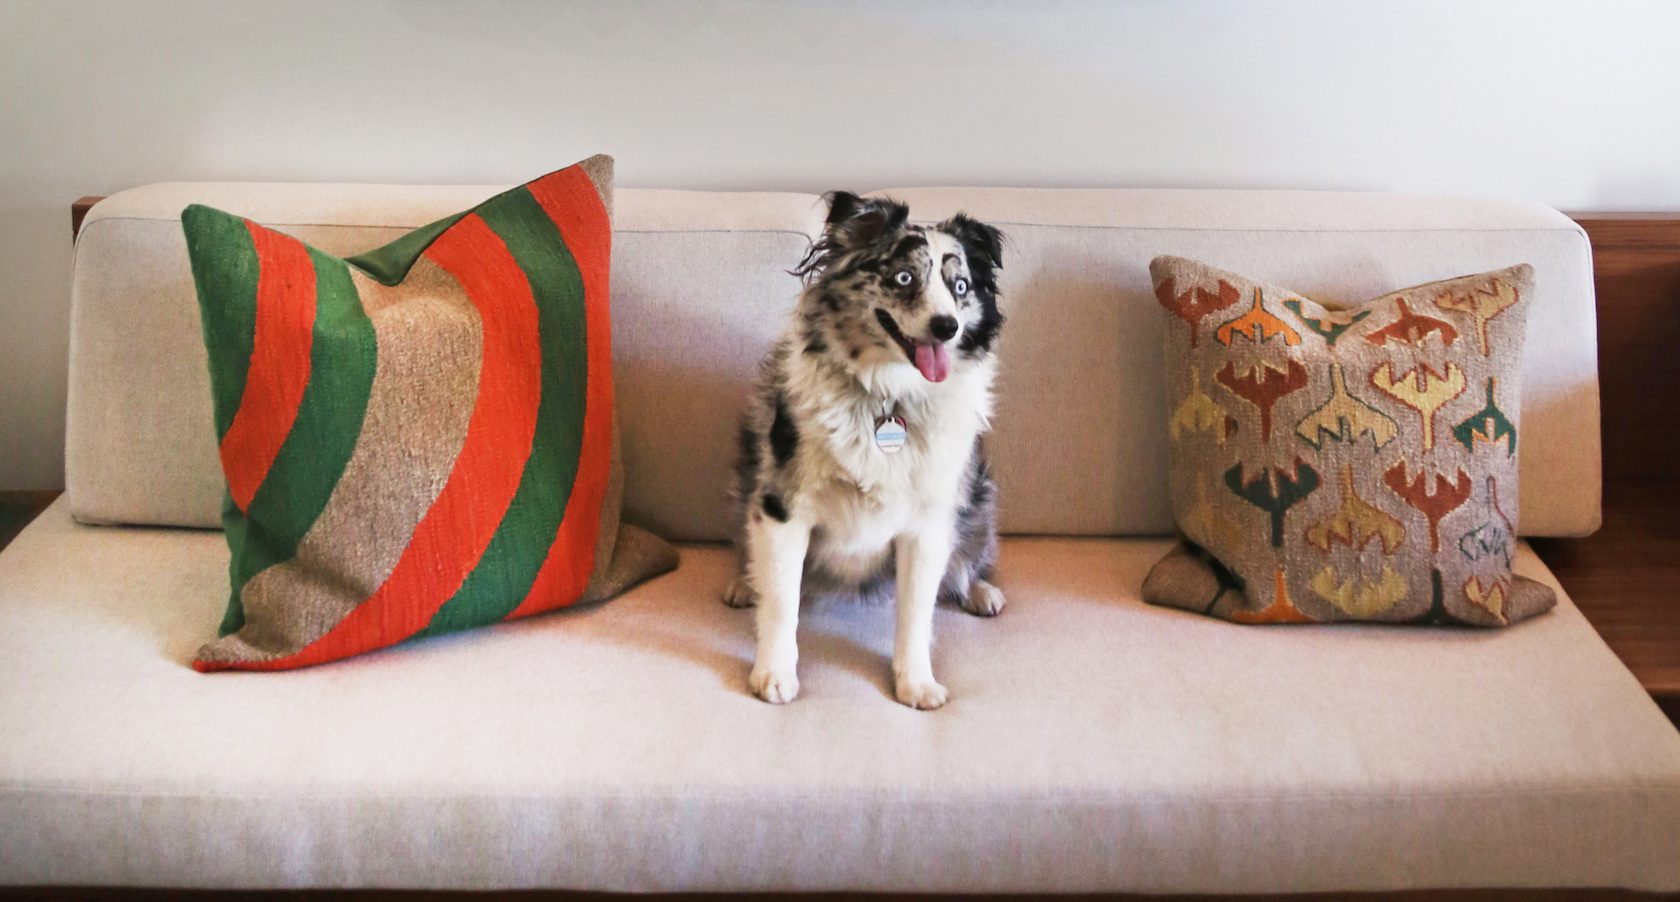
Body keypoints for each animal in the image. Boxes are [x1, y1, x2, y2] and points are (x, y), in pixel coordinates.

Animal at [725, 193, 1007, 705]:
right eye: (904, 278)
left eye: (960, 286)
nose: (947, 327)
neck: (887, 395)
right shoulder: (782, 505)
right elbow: (782, 601)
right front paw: (773, 674)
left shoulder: (928, 523)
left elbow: (915, 612)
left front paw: (916, 683)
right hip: (746, 475)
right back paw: (743, 582)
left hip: (979, 499)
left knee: (966, 562)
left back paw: (980, 591)